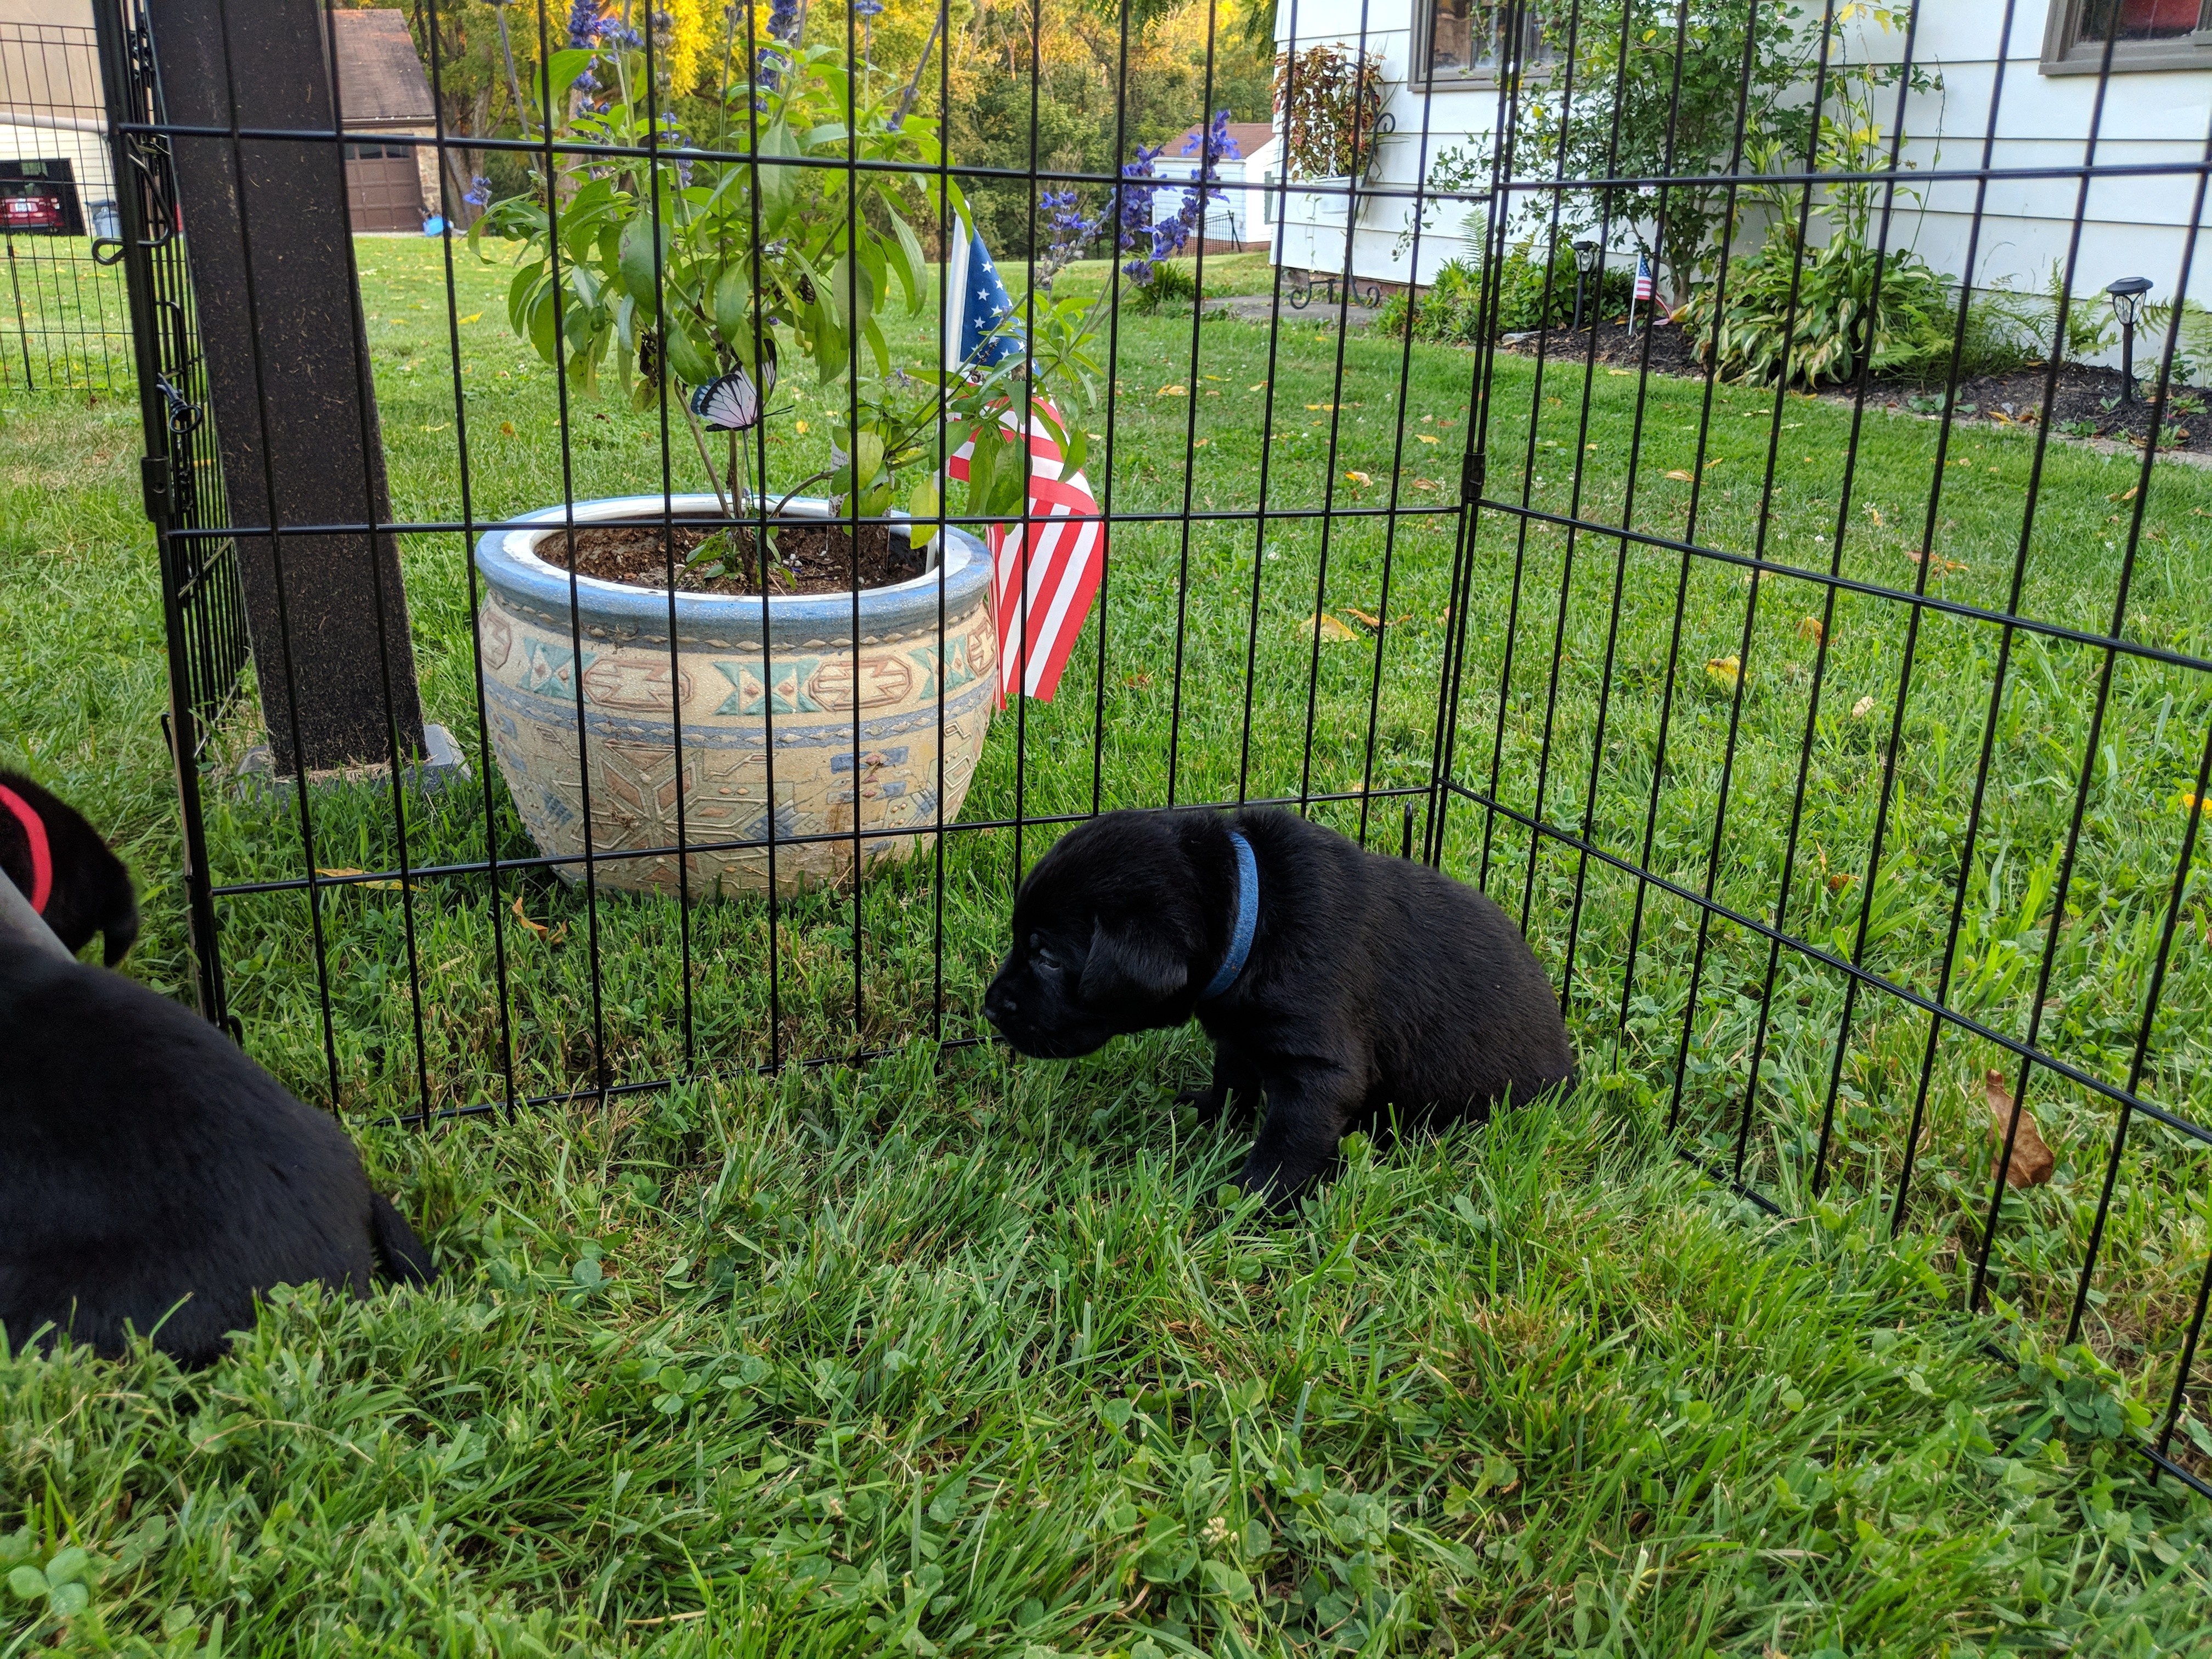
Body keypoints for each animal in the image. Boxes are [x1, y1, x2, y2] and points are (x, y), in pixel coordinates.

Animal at [984, 807, 1575, 1204]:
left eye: (1047, 957)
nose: (989, 1008)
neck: (1252, 911)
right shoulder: (1238, 1032)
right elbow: (1232, 1079)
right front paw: (1209, 1113)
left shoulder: (1319, 1071)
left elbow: (1287, 1144)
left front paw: (1245, 1202)